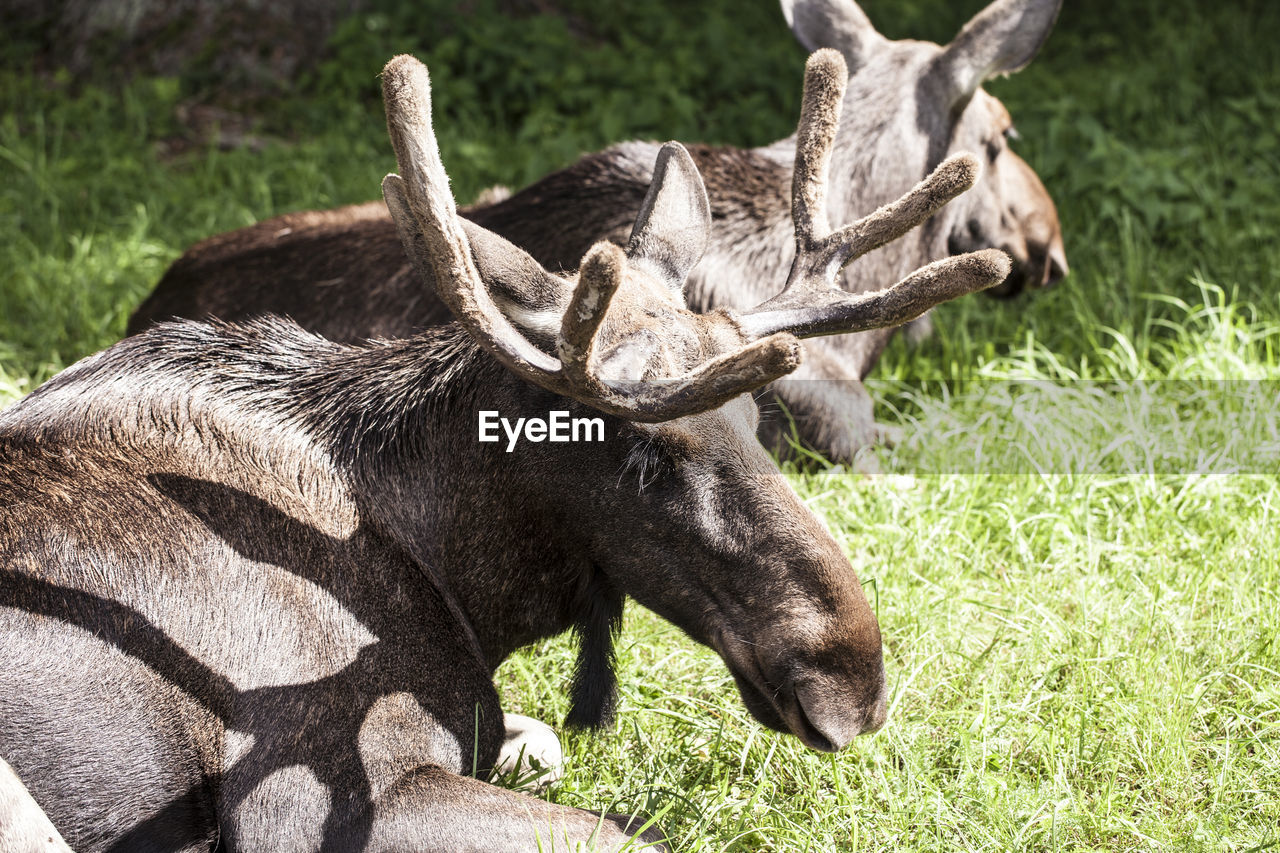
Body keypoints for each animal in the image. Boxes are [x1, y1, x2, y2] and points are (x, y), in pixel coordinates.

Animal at [0, 51, 1008, 845]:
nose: (852, 675)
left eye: (762, 423)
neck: (464, 580)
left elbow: (549, 744)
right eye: (646, 456)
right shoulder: (308, 796)